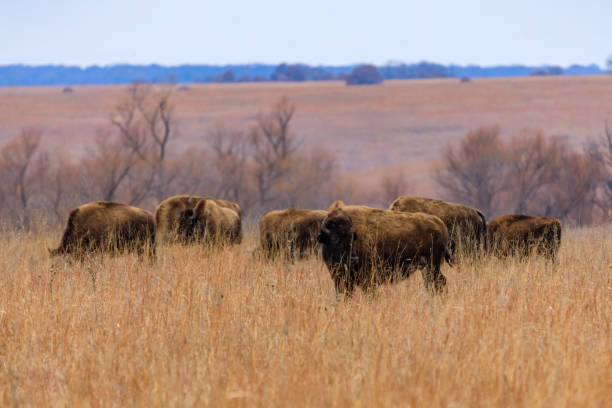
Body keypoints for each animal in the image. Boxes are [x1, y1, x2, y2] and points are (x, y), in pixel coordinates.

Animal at [318, 202, 452, 294]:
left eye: (352, 238)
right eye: (334, 239)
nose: (353, 259)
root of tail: (440, 224)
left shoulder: (368, 279)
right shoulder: (342, 281)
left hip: (432, 267)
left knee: (439, 283)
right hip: (427, 268)